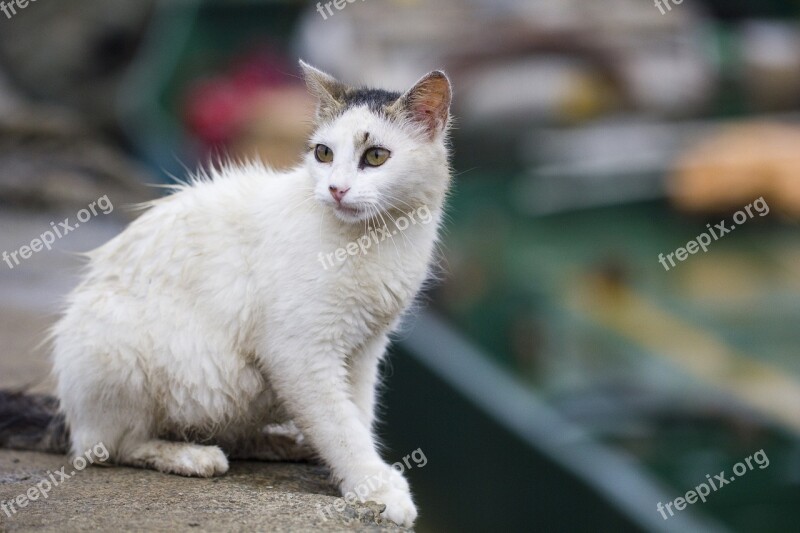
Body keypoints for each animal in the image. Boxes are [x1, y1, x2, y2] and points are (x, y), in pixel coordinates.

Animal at [0, 60, 450, 524]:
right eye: (323, 154)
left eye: (375, 156)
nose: (336, 189)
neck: (375, 239)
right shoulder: (301, 355)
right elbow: (341, 427)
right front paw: (376, 486)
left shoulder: (363, 352)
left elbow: (357, 416)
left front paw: (364, 477)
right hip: (117, 351)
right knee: (106, 446)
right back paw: (189, 456)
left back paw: (281, 444)